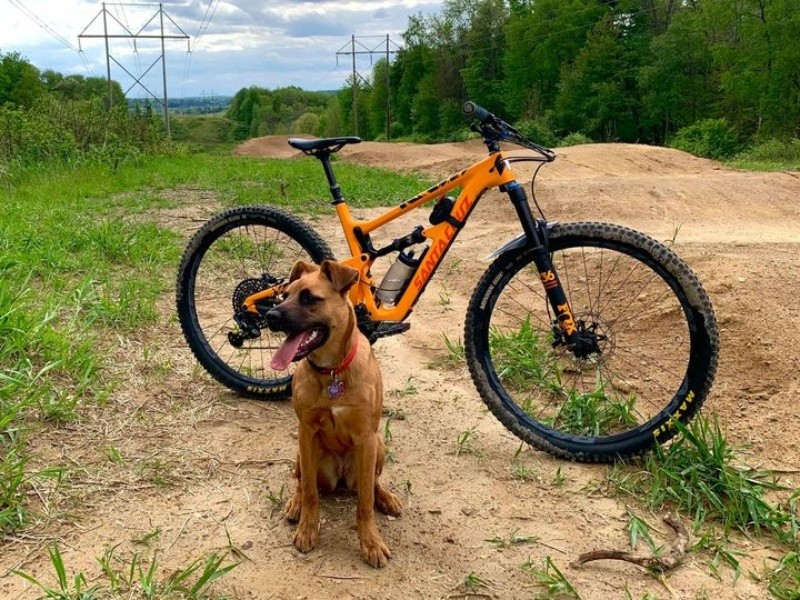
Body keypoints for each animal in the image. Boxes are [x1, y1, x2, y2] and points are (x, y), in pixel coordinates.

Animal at [268, 258, 404, 568]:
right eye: (285, 295)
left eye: (309, 298)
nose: (270, 315)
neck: (332, 371)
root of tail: (341, 477)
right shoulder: (306, 431)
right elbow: (309, 492)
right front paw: (308, 528)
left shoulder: (366, 438)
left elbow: (364, 502)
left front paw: (370, 542)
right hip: (301, 451)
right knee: (302, 481)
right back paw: (295, 503)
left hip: (378, 446)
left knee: (372, 484)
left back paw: (387, 498)